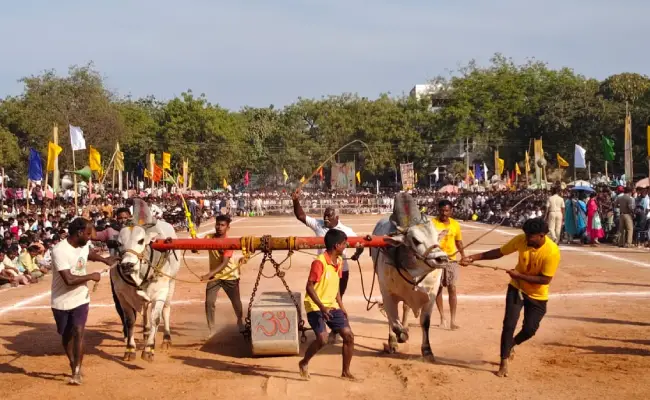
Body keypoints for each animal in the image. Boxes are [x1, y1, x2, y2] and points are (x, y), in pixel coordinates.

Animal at [112, 200, 180, 362]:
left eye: (141, 241)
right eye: (118, 243)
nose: (127, 265)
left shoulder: (161, 292)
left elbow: (156, 318)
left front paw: (149, 349)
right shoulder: (122, 296)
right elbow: (129, 321)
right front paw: (130, 349)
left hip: (171, 285)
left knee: (166, 310)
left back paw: (166, 339)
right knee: (144, 311)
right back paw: (146, 332)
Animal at [370, 192, 450, 361]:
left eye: (437, 238)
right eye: (415, 240)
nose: (441, 258)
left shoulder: (431, 295)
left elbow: (424, 322)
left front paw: (427, 351)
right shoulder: (387, 293)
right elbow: (393, 321)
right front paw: (397, 338)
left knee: (405, 309)